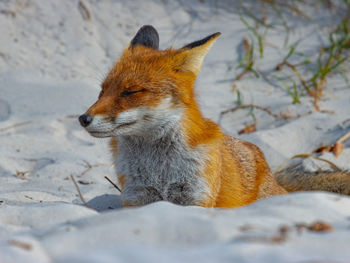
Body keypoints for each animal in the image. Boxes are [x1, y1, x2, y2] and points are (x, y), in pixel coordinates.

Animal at [79, 25, 350, 209]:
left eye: (131, 92)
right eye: (102, 91)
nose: (83, 118)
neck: (160, 171)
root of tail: (272, 173)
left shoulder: (196, 198)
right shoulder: (137, 198)